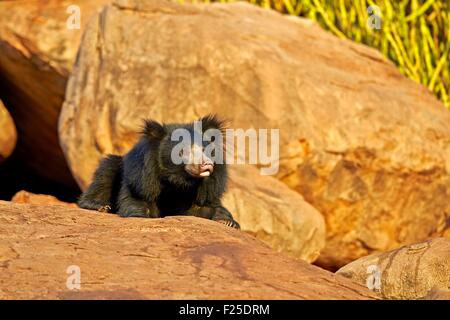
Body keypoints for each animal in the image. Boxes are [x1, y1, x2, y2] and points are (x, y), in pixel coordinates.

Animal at [78, 115, 239, 230]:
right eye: (183, 151)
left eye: (205, 150)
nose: (207, 165)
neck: (177, 181)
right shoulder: (142, 180)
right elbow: (135, 200)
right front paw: (140, 214)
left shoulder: (206, 189)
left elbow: (206, 207)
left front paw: (228, 222)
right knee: (105, 174)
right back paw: (100, 206)